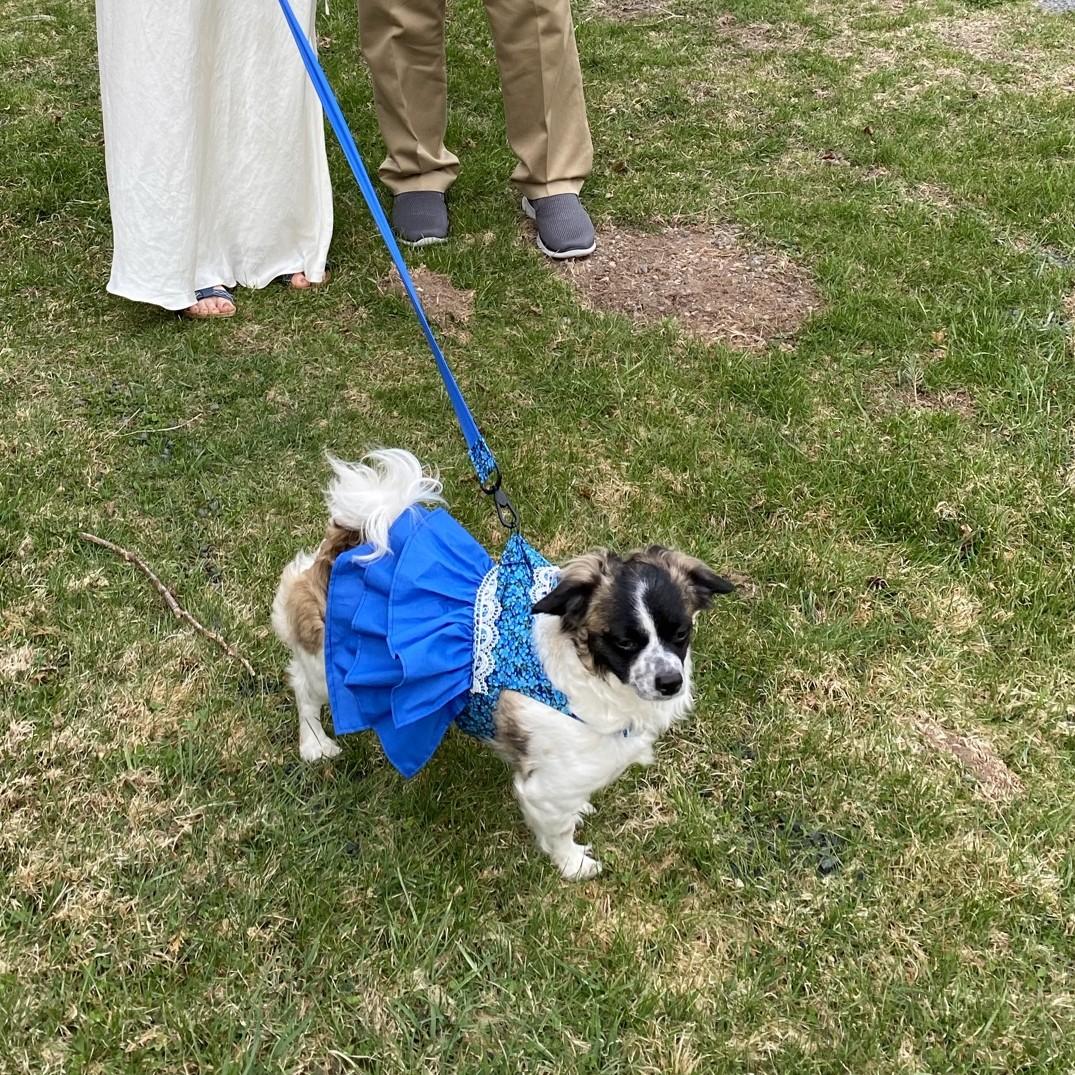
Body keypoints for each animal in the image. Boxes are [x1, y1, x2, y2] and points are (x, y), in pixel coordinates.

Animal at [272, 449, 734, 879]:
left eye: (681, 633)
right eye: (624, 642)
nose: (670, 681)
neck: (593, 674)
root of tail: (349, 542)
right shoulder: (547, 787)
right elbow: (559, 830)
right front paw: (573, 865)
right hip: (326, 665)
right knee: (304, 689)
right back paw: (314, 744)